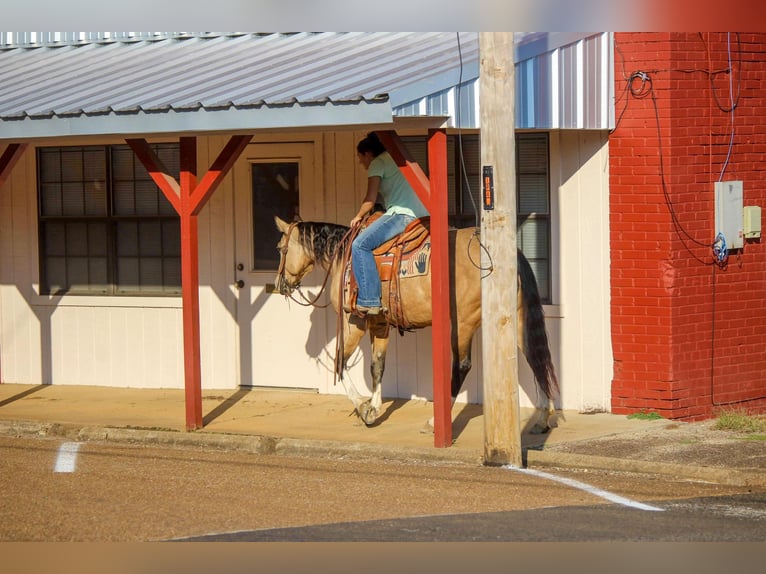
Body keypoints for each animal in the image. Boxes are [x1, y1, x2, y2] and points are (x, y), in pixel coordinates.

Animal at [272, 217, 560, 436]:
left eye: (280, 248)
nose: (279, 285)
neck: (345, 256)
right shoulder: (380, 323)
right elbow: (377, 366)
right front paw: (374, 407)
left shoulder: (354, 321)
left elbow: (339, 362)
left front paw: (364, 409)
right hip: (517, 318)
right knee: (535, 359)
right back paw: (543, 419)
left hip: (463, 322)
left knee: (462, 366)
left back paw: (435, 422)